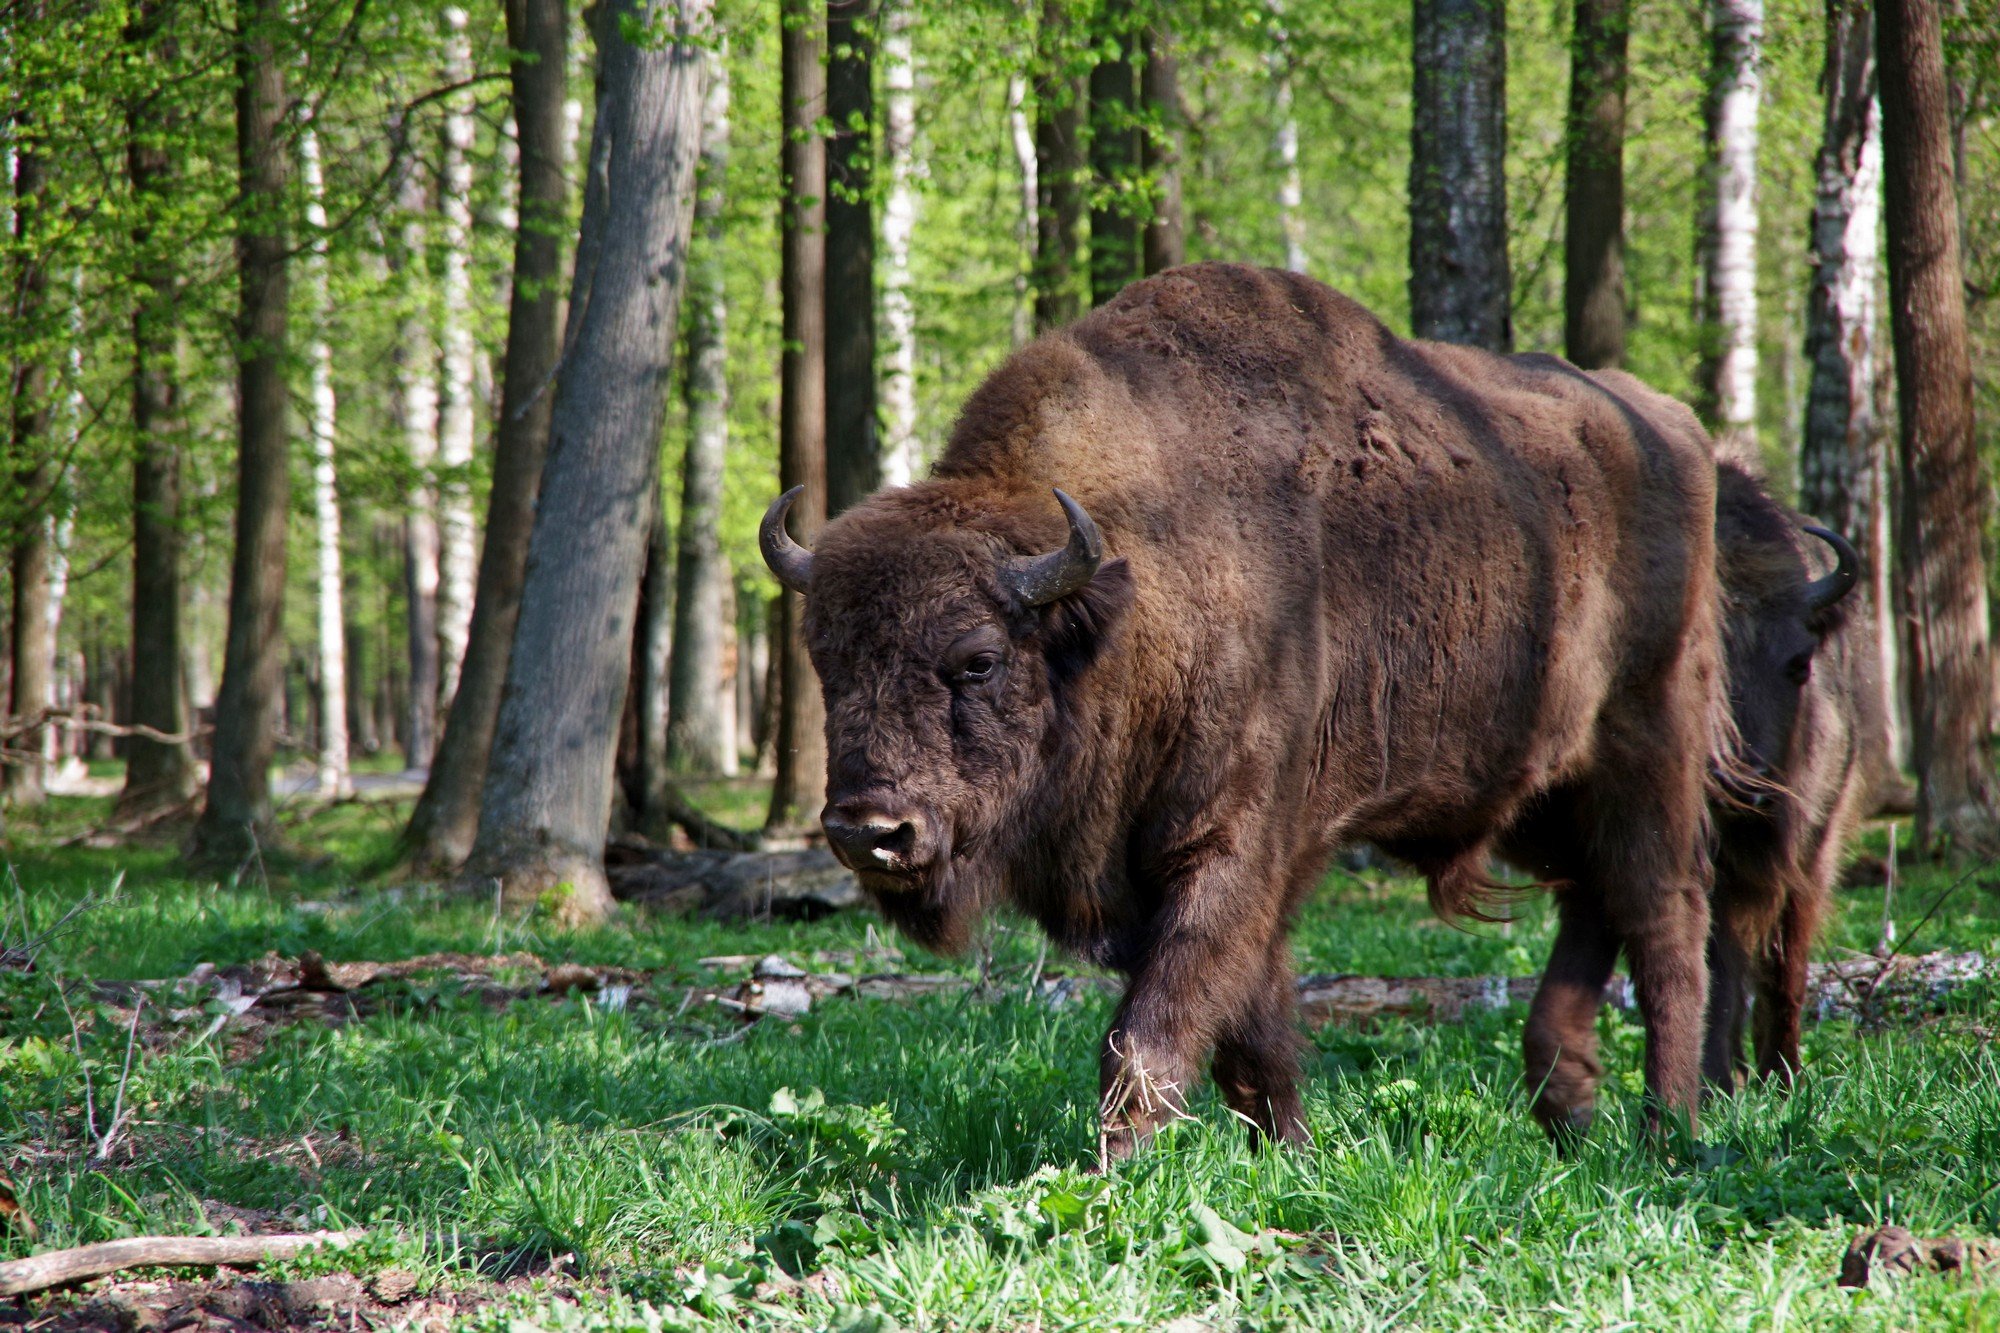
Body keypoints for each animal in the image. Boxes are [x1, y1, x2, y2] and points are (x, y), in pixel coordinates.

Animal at [764, 262, 1736, 1152]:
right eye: (825, 655)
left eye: (978, 659)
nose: (868, 830)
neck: (1139, 587)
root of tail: (1675, 428)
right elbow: (1253, 1032)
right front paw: (1293, 1153)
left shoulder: (1231, 845)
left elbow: (1149, 1036)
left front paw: (1113, 1177)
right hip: (1539, 790)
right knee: (1592, 901)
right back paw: (1569, 1111)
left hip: (1647, 742)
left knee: (1666, 918)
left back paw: (1669, 1131)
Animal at [1704, 456, 1872, 1080]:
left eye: (1800, 663)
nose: (1740, 786)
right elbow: (1717, 971)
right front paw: (1714, 1080)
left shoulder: (1810, 852)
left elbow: (1784, 965)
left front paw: (1784, 1075)